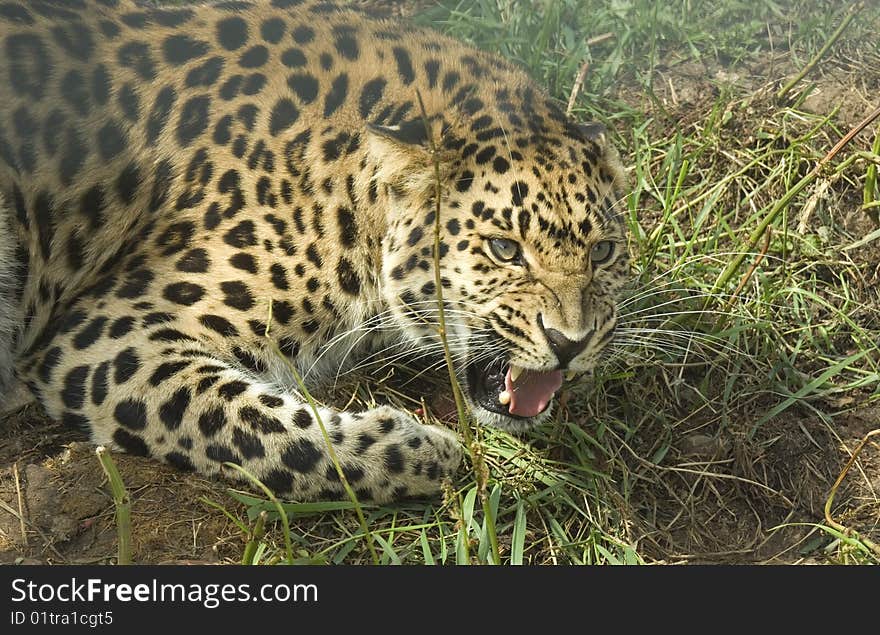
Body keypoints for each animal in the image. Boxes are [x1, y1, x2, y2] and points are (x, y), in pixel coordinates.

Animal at [1, 0, 632, 504]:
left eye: (603, 253)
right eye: (504, 248)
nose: (571, 343)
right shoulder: (108, 332)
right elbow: (251, 423)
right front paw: (420, 450)